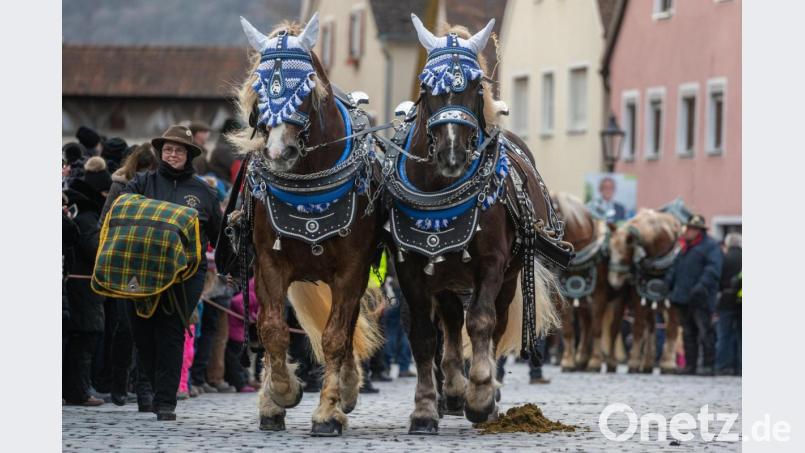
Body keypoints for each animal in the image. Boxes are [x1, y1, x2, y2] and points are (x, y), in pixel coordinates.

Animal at [220, 14, 384, 436]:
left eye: (306, 85)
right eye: (258, 86)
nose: (280, 151)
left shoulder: (351, 271)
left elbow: (336, 337)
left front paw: (329, 411)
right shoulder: (268, 263)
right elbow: (272, 329)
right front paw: (280, 394)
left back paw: (347, 389)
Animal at [377, 15, 570, 434]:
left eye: (475, 87)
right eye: (426, 88)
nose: (452, 153)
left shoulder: (492, 264)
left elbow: (481, 322)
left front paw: (481, 397)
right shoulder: (410, 267)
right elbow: (423, 335)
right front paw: (425, 409)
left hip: (509, 276)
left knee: (491, 322)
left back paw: (484, 394)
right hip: (446, 276)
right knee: (449, 324)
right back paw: (451, 390)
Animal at [551, 192, 620, 373]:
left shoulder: (599, 295)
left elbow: (597, 329)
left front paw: (595, 362)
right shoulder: (566, 296)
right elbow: (568, 329)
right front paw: (568, 361)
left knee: (612, 329)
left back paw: (610, 361)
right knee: (586, 325)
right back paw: (582, 359)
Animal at [607, 209, 682, 373]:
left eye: (623, 256)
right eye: (610, 251)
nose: (613, 283)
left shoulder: (673, 301)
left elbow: (672, 328)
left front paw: (668, 363)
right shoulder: (638, 300)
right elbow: (637, 328)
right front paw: (634, 362)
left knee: (652, 327)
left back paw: (648, 362)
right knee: (616, 328)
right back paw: (614, 362)